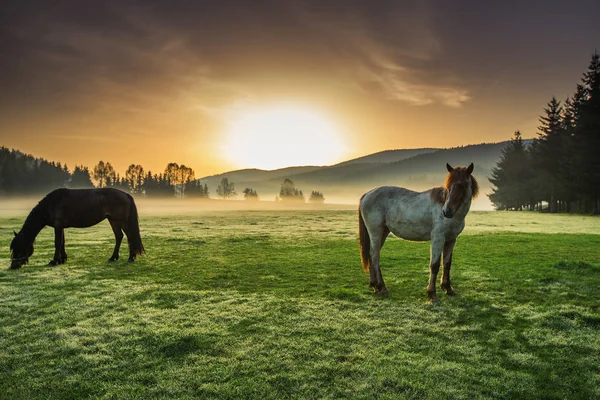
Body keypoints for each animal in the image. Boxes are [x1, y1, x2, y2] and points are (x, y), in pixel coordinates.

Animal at [10, 188, 145, 268]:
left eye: (18, 248)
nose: (13, 266)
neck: (51, 204)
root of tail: (126, 194)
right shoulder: (61, 226)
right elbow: (62, 242)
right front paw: (63, 259)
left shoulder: (58, 226)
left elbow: (57, 242)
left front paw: (54, 261)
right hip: (113, 220)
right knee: (119, 236)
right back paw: (113, 257)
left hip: (120, 221)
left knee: (129, 236)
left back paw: (131, 257)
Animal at [358, 162, 480, 300]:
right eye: (449, 186)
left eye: (463, 185)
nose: (447, 211)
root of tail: (367, 194)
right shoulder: (438, 239)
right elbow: (435, 265)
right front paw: (432, 293)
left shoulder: (451, 240)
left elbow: (447, 264)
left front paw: (448, 288)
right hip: (376, 233)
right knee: (375, 256)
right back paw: (381, 287)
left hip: (383, 233)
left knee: (371, 254)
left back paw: (374, 285)